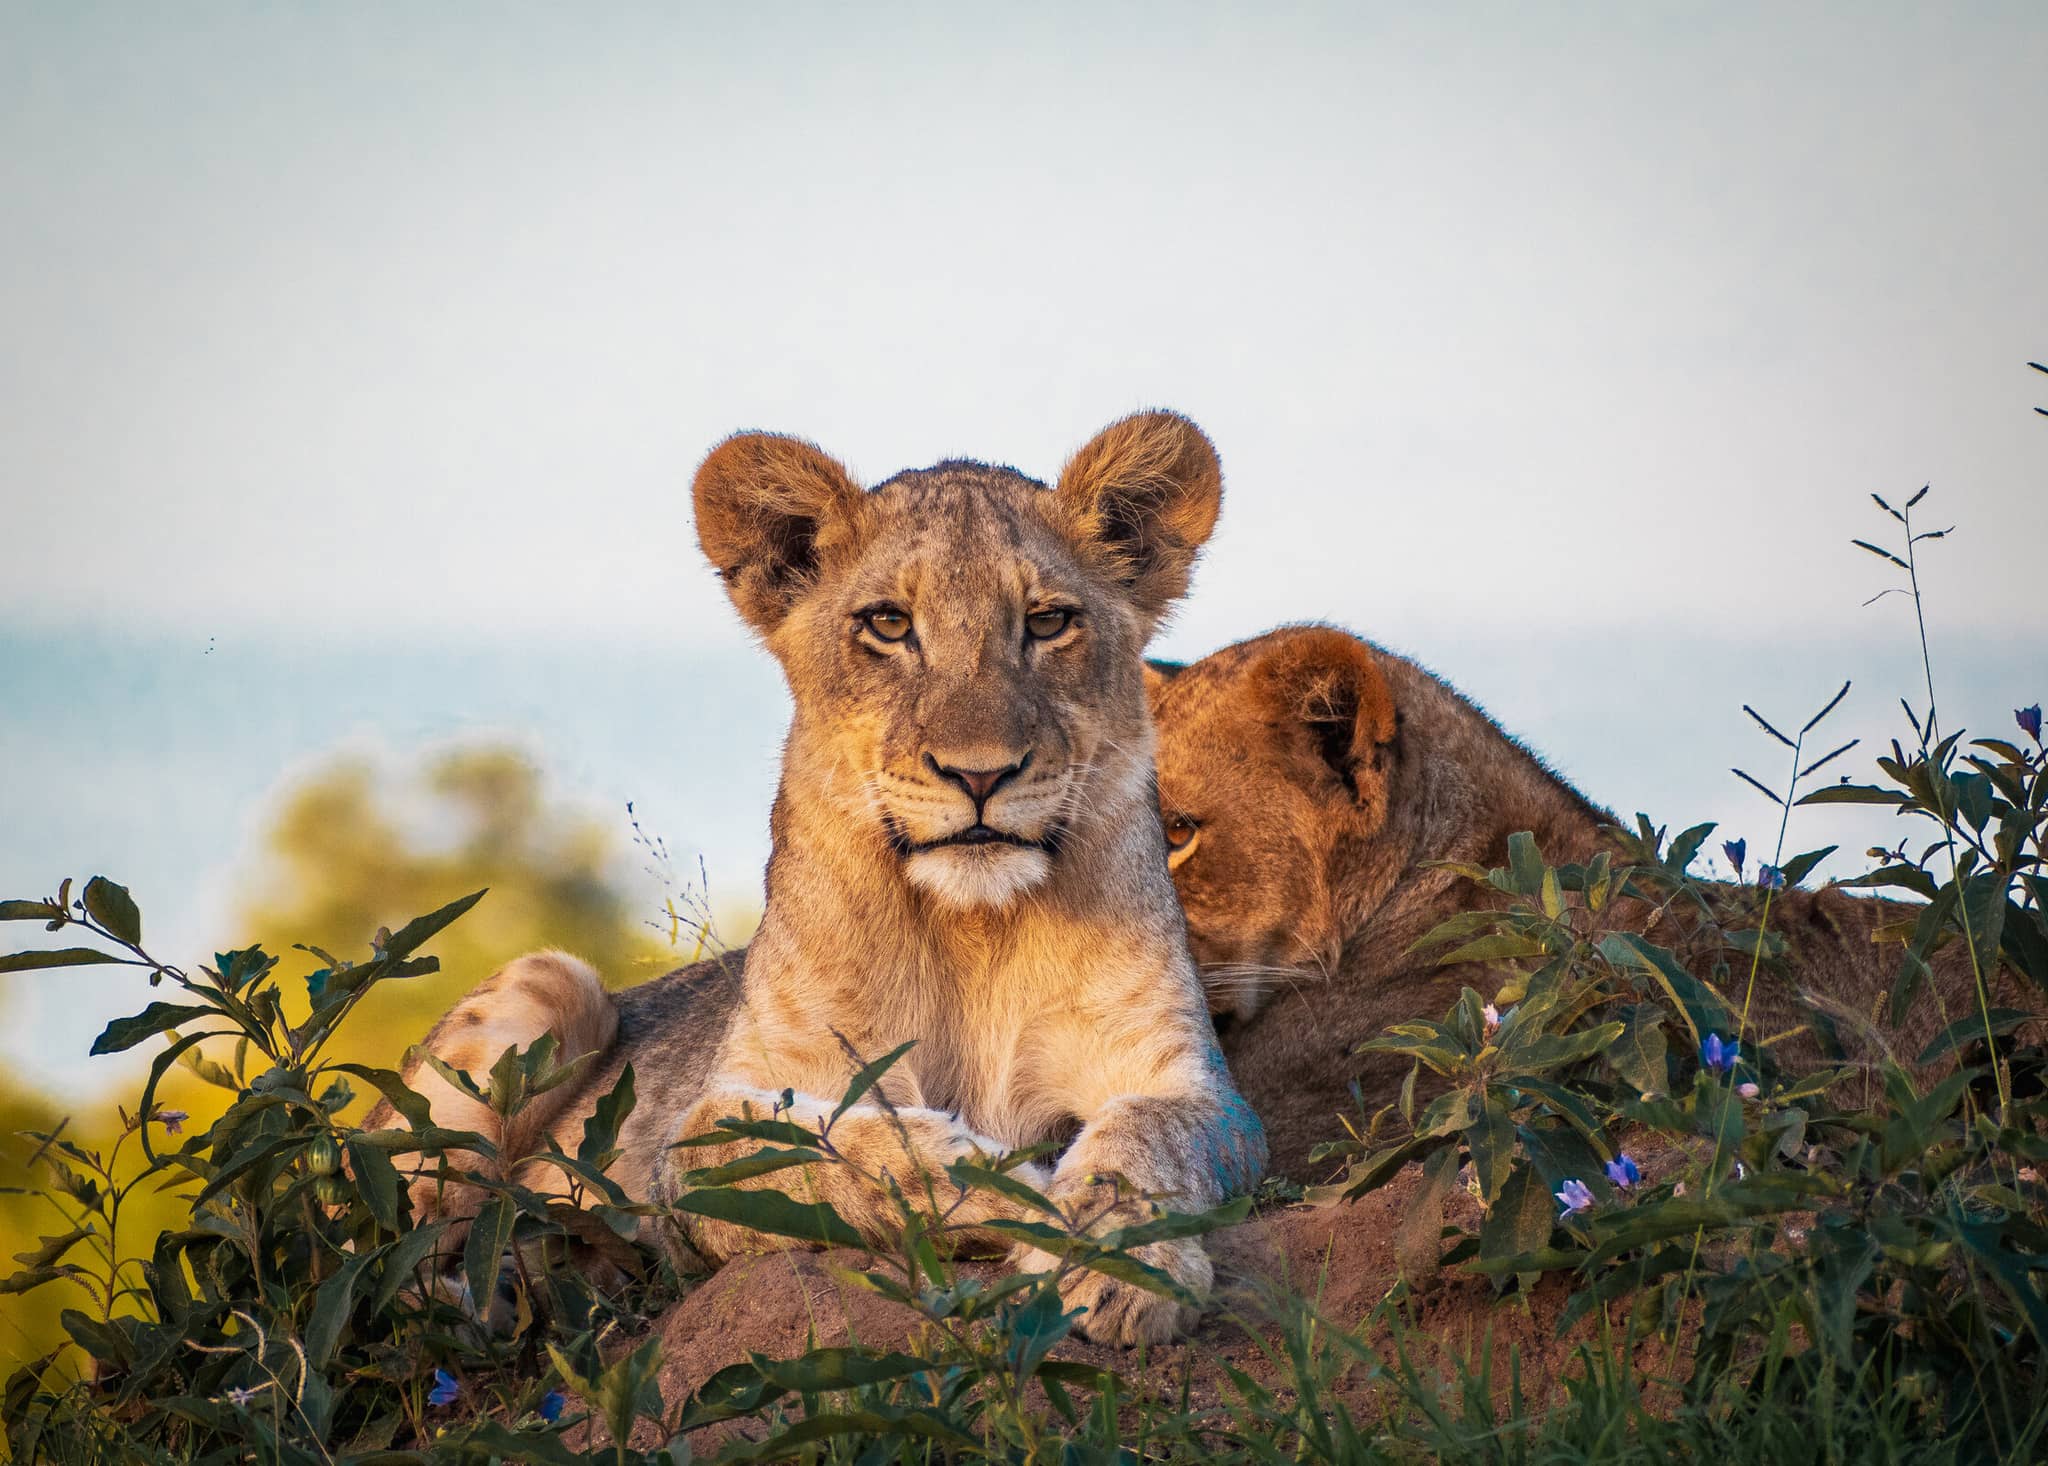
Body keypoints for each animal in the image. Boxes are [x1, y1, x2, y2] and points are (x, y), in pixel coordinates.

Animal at [366, 412, 1265, 1344]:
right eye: (889, 623)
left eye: (1048, 621)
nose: (979, 773)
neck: (973, 929)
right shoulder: (709, 1125)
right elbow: (829, 1147)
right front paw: (1002, 1185)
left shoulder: (1185, 1080)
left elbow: (1143, 1141)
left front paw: (1116, 1267)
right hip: (551, 984)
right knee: (379, 1251)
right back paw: (501, 1293)